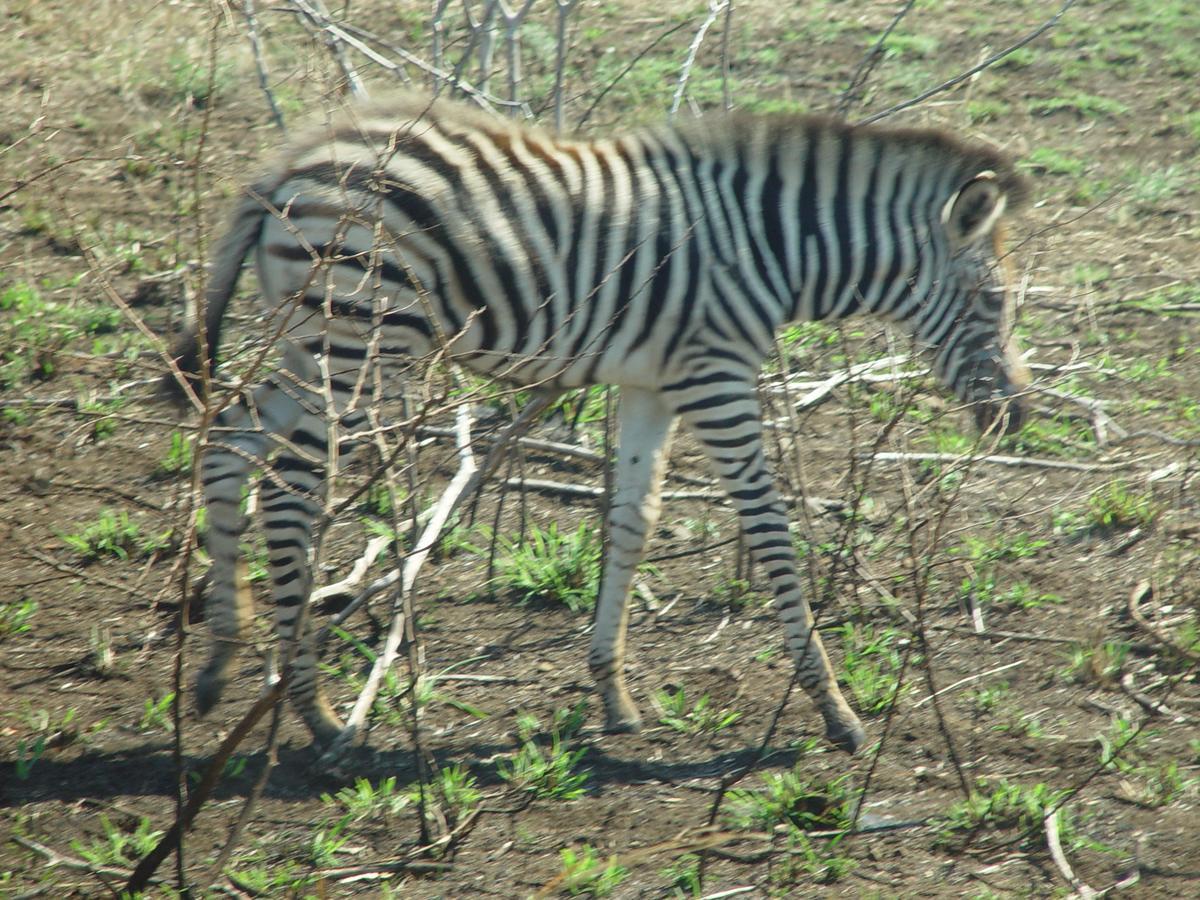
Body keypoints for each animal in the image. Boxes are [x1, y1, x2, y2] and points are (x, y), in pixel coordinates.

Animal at [171, 91, 1032, 758]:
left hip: (306, 340)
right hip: (357, 347)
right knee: (291, 491)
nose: (1018, 416)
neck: (773, 248)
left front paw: (613, 694)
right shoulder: (716, 376)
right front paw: (835, 709)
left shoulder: (656, 382)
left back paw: (219, 662)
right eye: (995, 301)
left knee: (229, 439)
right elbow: (769, 526)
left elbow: (632, 520)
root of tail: (292, 162)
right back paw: (313, 709)